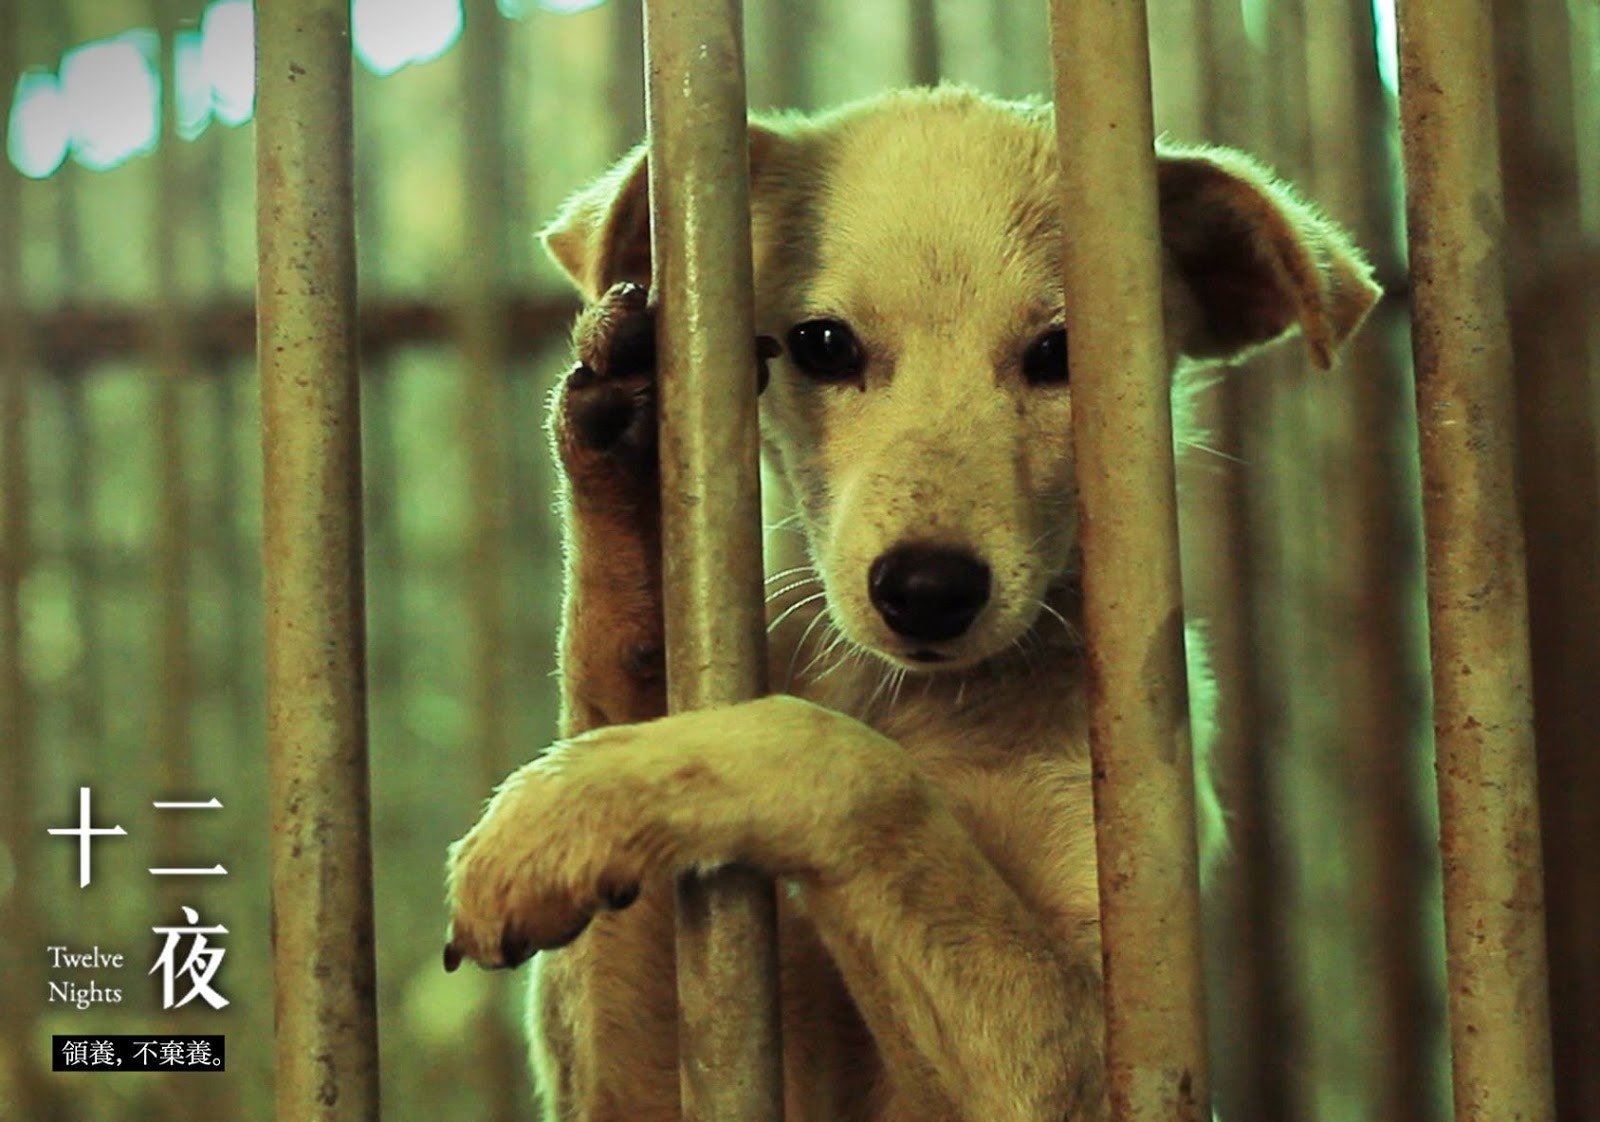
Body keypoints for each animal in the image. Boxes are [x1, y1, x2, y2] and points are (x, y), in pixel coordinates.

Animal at [444, 87, 1382, 1120]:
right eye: (822, 345)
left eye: (1063, 353)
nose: (928, 592)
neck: (940, 713)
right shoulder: (655, 1086)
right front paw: (632, 445)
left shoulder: (1119, 1057)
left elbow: (853, 768)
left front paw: (567, 808)